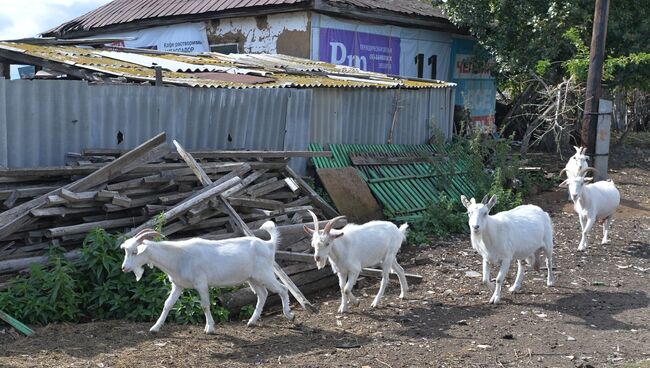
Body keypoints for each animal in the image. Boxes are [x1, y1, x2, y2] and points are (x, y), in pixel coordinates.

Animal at [119, 223, 294, 334]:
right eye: (126, 251)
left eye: (134, 251)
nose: (124, 268)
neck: (178, 257)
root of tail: (269, 245)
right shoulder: (178, 285)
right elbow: (167, 304)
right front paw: (155, 328)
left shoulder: (201, 283)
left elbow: (204, 305)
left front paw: (209, 328)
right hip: (252, 278)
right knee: (262, 294)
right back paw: (252, 321)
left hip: (264, 273)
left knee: (282, 289)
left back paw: (289, 315)